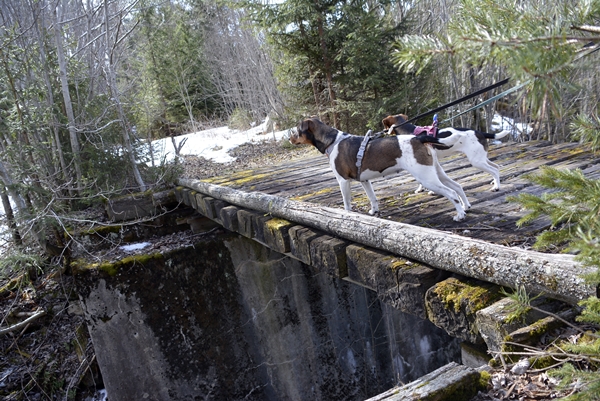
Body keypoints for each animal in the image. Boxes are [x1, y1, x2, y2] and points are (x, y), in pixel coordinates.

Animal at [290, 115, 468, 222]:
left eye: (297, 130)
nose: (289, 139)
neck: (332, 141)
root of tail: (418, 138)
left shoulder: (343, 181)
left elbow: (347, 203)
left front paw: (346, 216)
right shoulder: (365, 180)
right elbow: (372, 198)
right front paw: (373, 211)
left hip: (426, 178)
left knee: (451, 193)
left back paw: (459, 215)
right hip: (435, 172)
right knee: (457, 186)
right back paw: (466, 207)